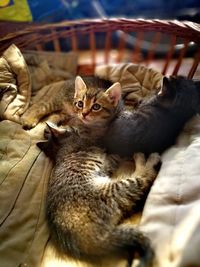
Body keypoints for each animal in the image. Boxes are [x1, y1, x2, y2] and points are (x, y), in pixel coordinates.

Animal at [37, 125, 160, 267]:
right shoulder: (105, 160)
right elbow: (113, 156)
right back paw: (146, 161)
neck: (62, 149)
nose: (74, 126)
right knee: (144, 178)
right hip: (116, 188)